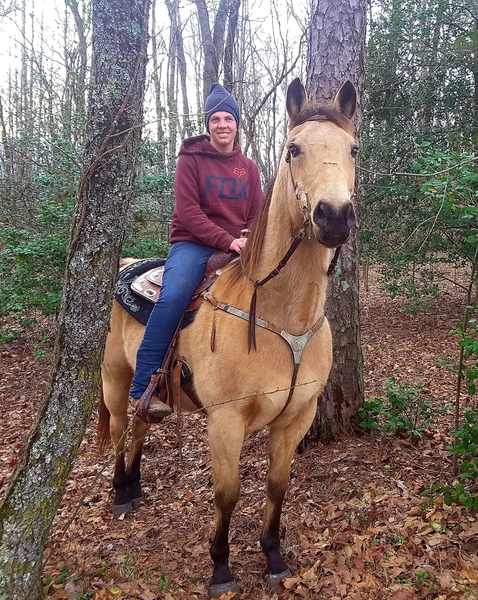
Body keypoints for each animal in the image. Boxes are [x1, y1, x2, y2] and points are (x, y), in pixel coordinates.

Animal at [98, 77, 358, 596]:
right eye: (293, 149)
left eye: (354, 148)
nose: (335, 215)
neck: (283, 318)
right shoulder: (225, 421)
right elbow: (228, 493)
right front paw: (221, 568)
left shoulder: (296, 418)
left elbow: (277, 486)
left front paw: (274, 558)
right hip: (115, 380)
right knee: (119, 429)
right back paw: (120, 492)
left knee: (140, 426)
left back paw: (135, 486)